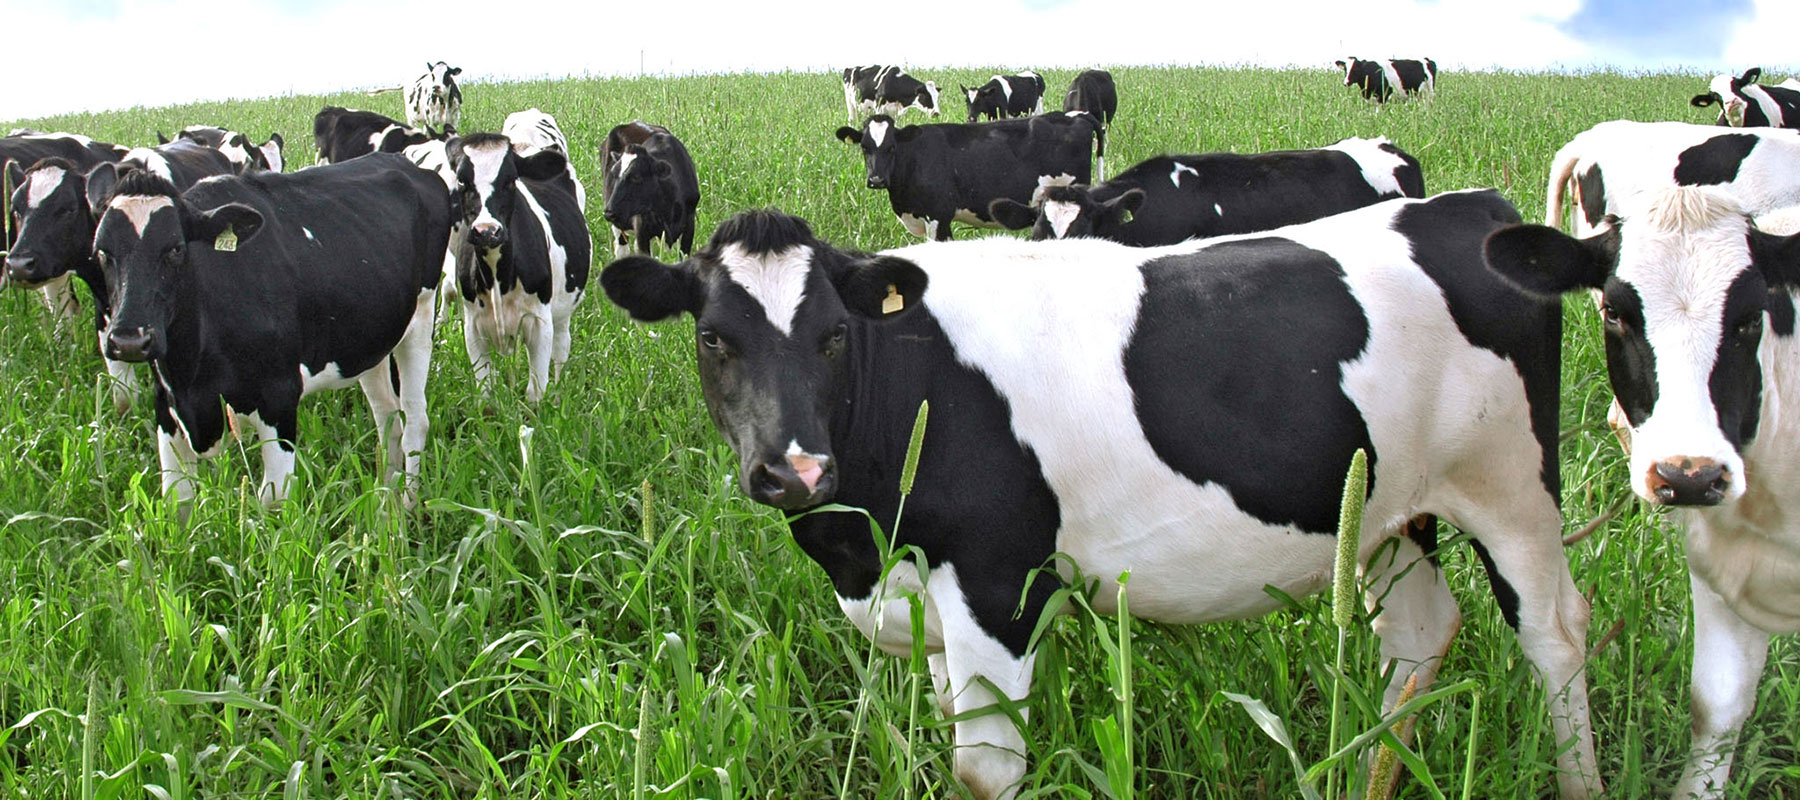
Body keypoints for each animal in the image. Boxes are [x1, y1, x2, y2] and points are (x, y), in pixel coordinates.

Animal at [88, 154, 448, 515]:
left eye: (175, 249)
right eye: (102, 252)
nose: (129, 340)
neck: (192, 374)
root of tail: (401, 160)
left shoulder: (279, 398)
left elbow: (271, 501)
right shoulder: (167, 405)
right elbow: (178, 501)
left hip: (421, 316)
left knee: (415, 418)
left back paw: (408, 503)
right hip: (370, 339)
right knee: (387, 416)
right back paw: (387, 499)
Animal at [448, 132, 592, 402]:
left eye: (510, 180)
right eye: (462, 180)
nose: (487, 231)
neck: (498, 275)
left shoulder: (540, 322)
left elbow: (535, 393)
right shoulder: (472, 328)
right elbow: (486, 395)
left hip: (563, 309)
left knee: (561, 349)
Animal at [599, 196, 1600, 800]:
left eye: (835, 334)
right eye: (715, 338)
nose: (797, 472)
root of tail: (1460, 206)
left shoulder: (998, 580)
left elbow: (983, 770)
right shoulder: (927, 597)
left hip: (1512, 489)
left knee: (1556, 635)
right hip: (1388, 511)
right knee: (1419, 634)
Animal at [600, 121, 699, 258]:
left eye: (636, 177)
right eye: (614, 174)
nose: (609, 212)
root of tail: (631, 123)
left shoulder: (689, 225)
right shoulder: (642, 229)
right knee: (622, 249)